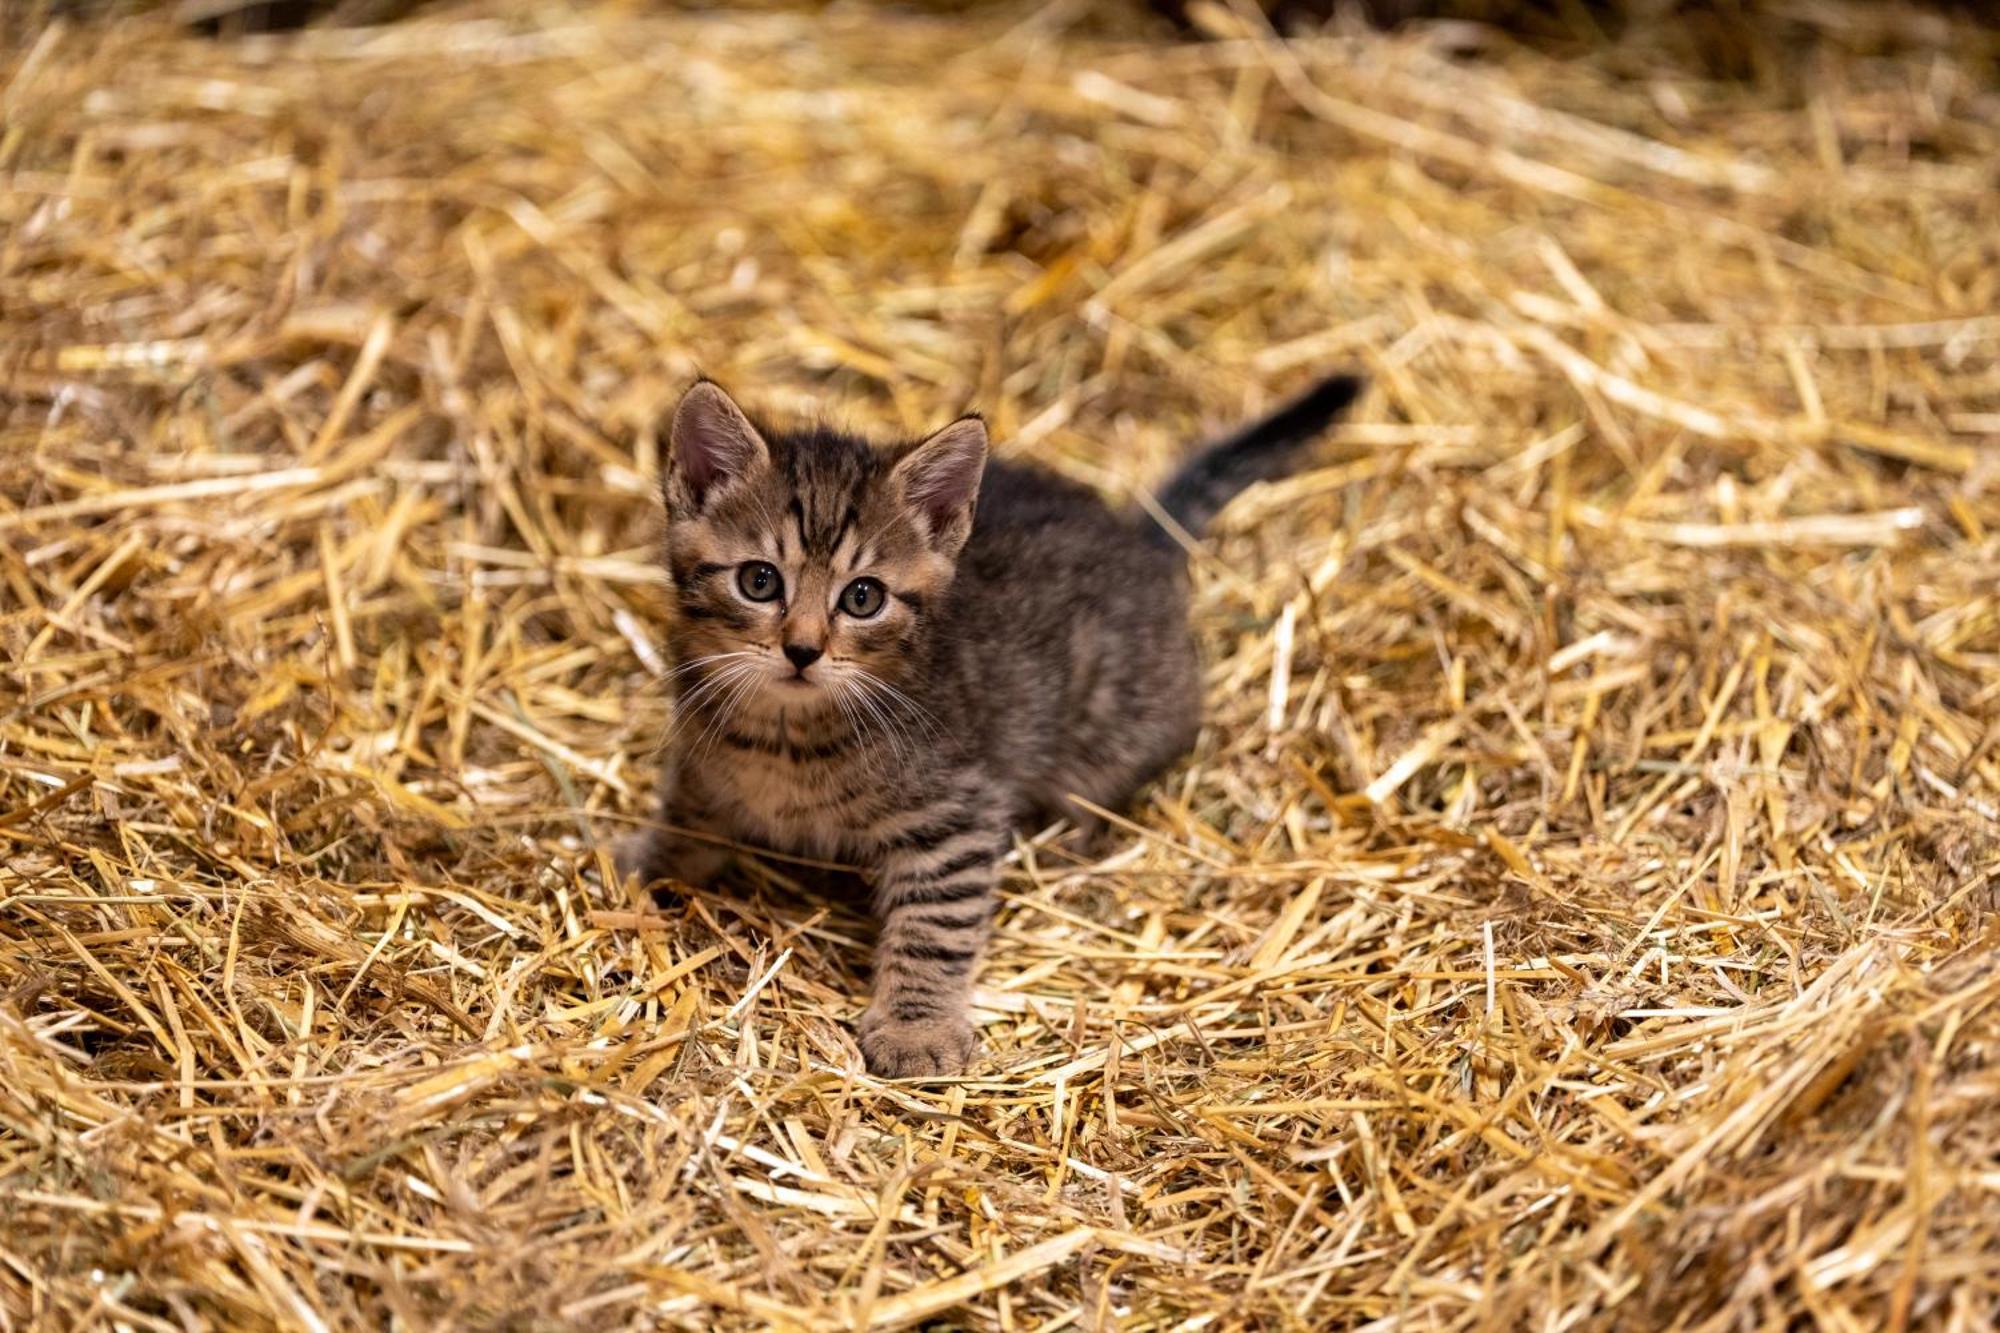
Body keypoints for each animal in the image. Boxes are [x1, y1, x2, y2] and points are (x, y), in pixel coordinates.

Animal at [616, 368, 1368, 1072]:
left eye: (862, 597)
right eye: (759, 581)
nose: (803, 650)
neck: (783, 733)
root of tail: (1136, 538)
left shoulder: (957, 814)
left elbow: (935, 925)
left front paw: (917, 1028)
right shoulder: (702, 758)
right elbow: (687, 810)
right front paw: (645, 859)